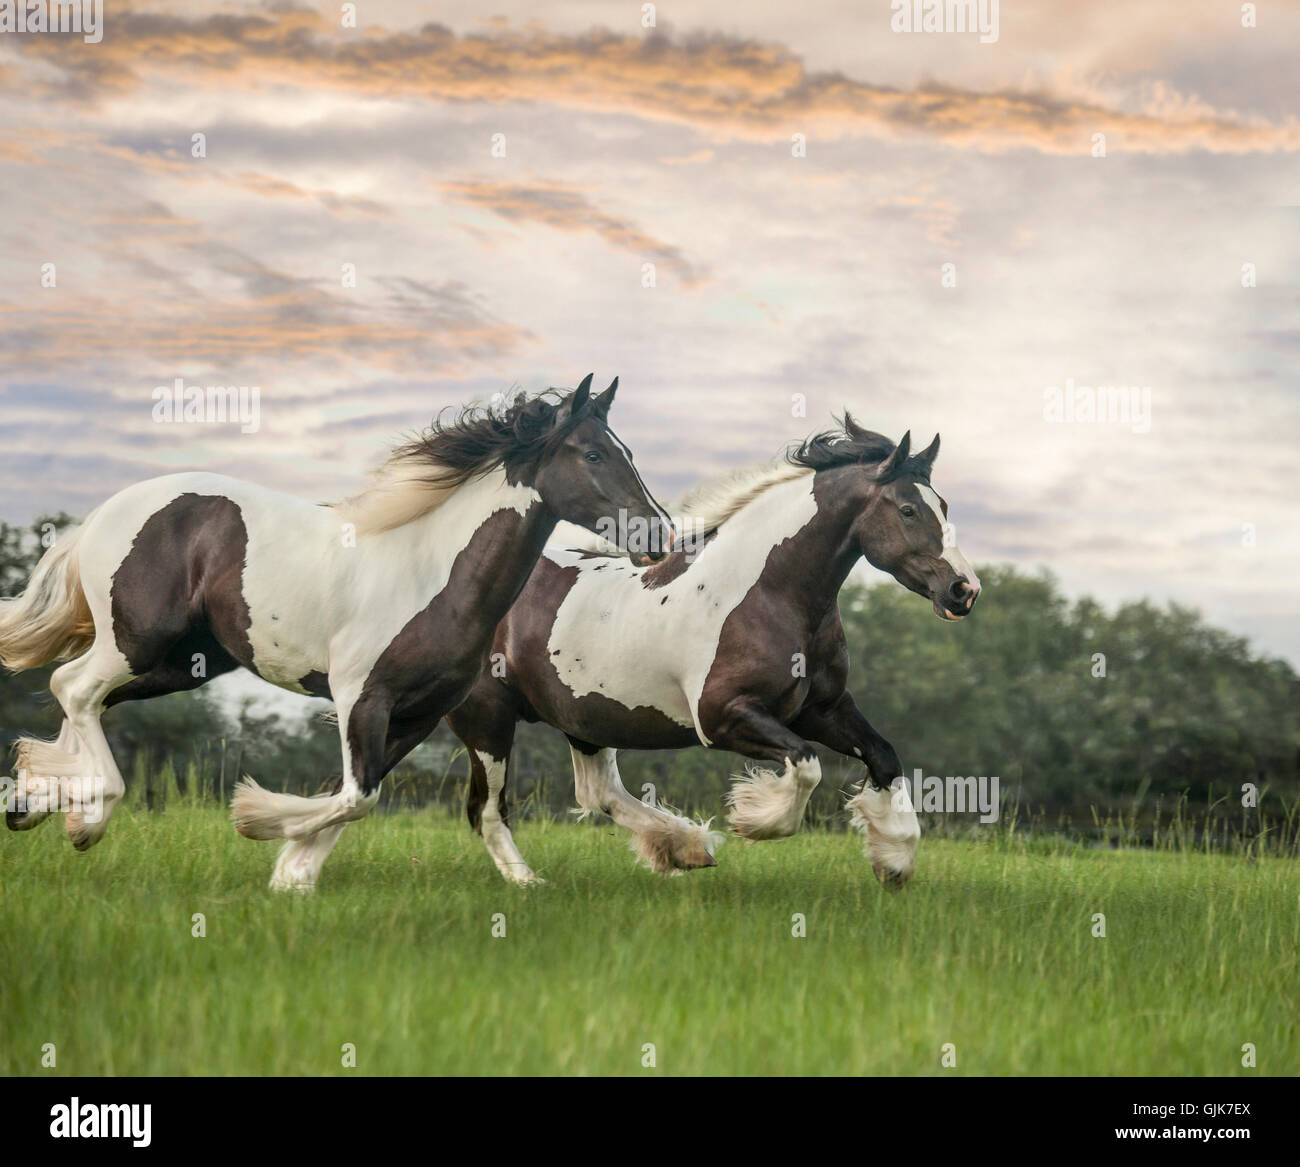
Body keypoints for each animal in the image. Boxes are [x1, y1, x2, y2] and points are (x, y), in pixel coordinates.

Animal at [0, 376, 670, 888]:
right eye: (592, 454)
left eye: (630, 452)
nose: (658, 536)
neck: (431, 570)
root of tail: (102, 514)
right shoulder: (360, 698)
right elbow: (356, 796)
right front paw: (258, 823)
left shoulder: (419, 712)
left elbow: (355, 797)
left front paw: (292, 874)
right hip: (138, 642)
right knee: (75, 688)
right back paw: (85, 822)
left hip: (182, 662)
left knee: (78, 694)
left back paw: (36, 803)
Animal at [444, 418, 977, 883]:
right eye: (908, 510)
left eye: (947, 507)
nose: (964, 590)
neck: (767, 592)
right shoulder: (722, 716)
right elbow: (807, 766)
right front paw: (753, 821)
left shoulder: (822, 709)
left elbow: (885, 757)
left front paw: (895, 862)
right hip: (487, 716)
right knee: (488, 809)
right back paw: (529, 882)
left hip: (584, 716)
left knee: (598, 792)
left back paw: (685, 848)